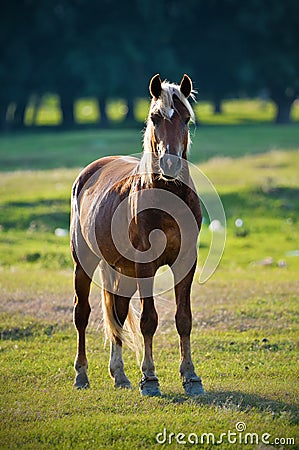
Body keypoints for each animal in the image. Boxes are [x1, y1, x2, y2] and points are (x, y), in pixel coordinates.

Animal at [71, 74, 205, 398]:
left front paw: (191, 377)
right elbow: (148, 321)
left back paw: (119, 375)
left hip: (123, 271)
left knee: (117, 313)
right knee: (82, 314)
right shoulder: (146, 266)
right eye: (155, 117)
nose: (170, 164)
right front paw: (150, 378)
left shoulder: (185, 264)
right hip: (84, 263)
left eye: (186, 118)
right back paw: (81, 374)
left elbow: (183, 319)